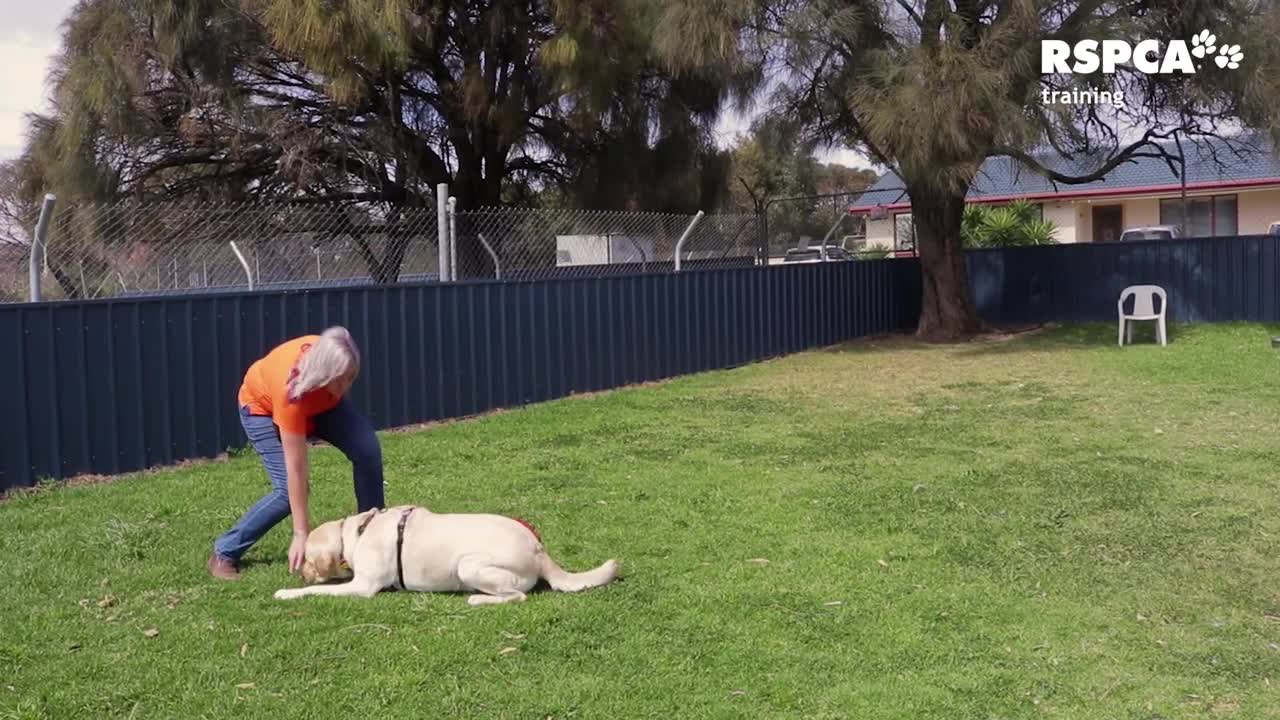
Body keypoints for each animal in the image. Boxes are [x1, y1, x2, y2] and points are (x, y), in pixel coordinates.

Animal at [271, 504, 619, 604]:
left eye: (307, 561)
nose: (299, 572)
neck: (357, 533)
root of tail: (538, 548)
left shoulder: (363, 587)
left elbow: (318, 590)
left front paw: (288, 592)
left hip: (468, 566)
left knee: (516, 596)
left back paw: (477, 599)